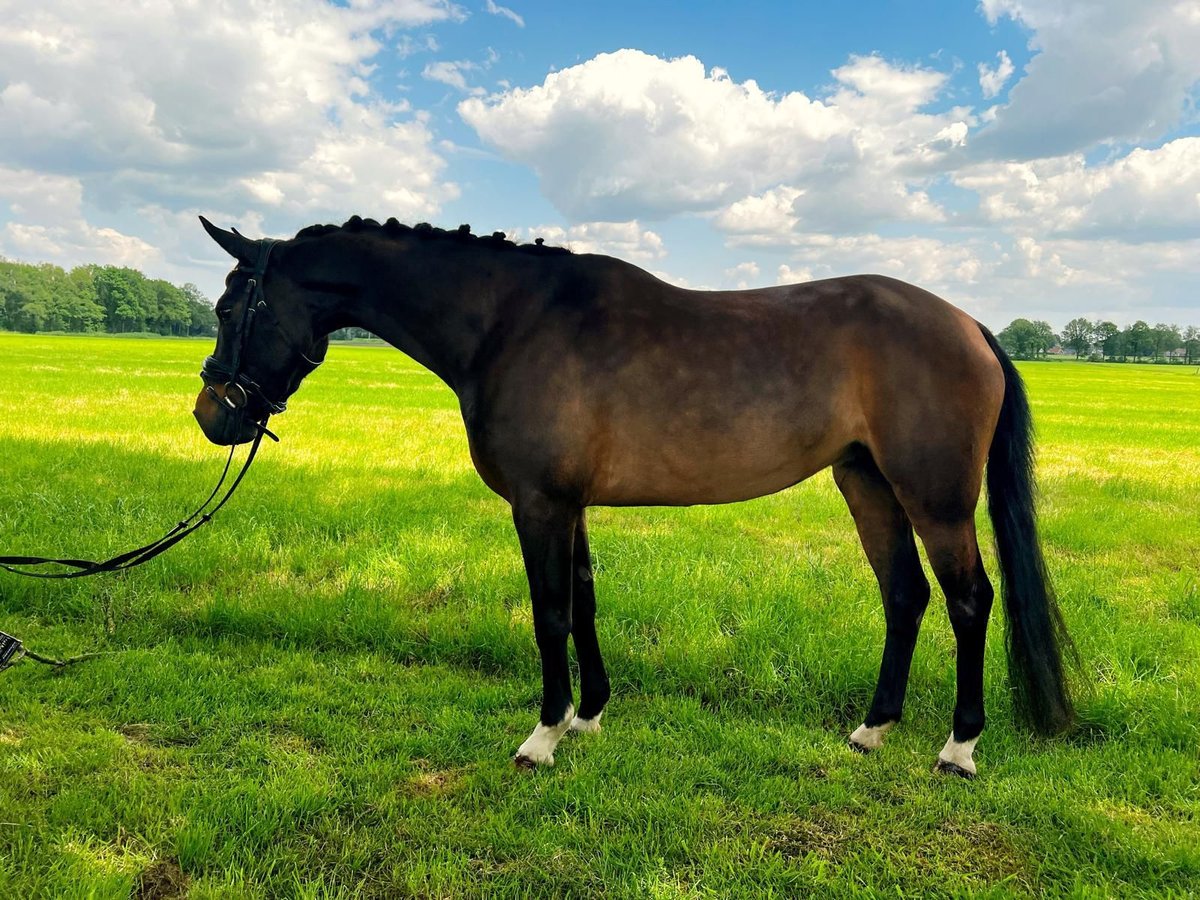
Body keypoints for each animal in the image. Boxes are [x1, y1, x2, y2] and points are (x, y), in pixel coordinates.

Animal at [192, 214, 1075, 777]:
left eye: (232, 306)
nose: (211, 413)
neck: (509, 324)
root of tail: (969, 325)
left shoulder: (540, 504)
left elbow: (549, 612)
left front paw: (543, 736)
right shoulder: (569, 504)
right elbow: (584, 599)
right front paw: (588, 715)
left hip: (936, 500)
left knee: (969, 600)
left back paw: (958, 748)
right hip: (867, 484)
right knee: (904, 594)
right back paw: (872, 730)